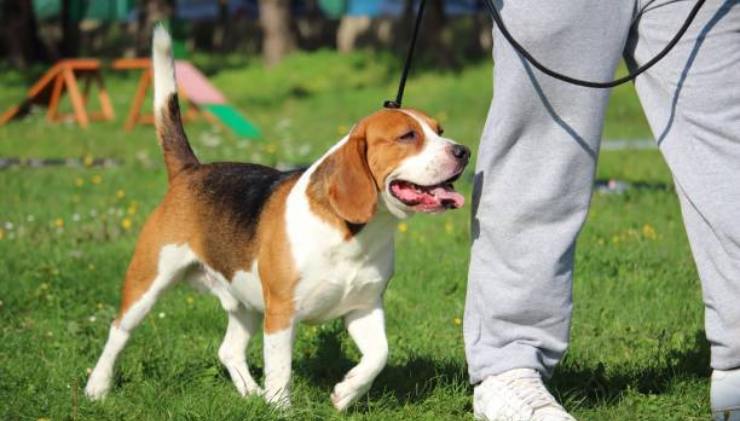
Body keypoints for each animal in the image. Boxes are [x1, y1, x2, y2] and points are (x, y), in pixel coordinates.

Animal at [85, 27, 468, 410]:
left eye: (439, 130)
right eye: (407, 136)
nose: (463, 151)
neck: (355, 234)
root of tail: (190, 170)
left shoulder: (364, 307)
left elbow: (379, 356)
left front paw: (346, 392)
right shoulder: (282, 314)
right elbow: (281, 372)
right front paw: (282, 409)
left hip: (246, 300)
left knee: (228, 350)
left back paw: (251, 393)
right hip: (148, 281)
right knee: (118, 331)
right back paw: (97, 387)